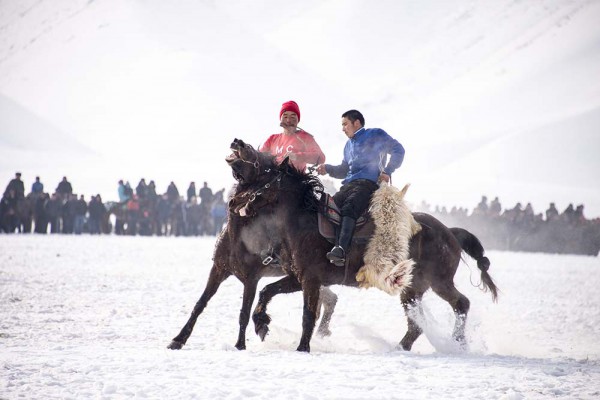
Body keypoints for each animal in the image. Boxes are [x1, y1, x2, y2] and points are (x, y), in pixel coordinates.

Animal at [225, 139, 496, 352]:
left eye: (265, 172)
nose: (235, 201)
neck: (303, 222)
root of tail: (449, 232)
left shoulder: (310, 280)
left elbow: (307, 316)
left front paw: (302, 347)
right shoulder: (297, 278)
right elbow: (266, 291)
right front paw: (261, 323)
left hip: (439, 281)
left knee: (461, 304)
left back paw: (458, 342)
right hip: (413, 288)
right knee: (416, 325)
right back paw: (399, 349)